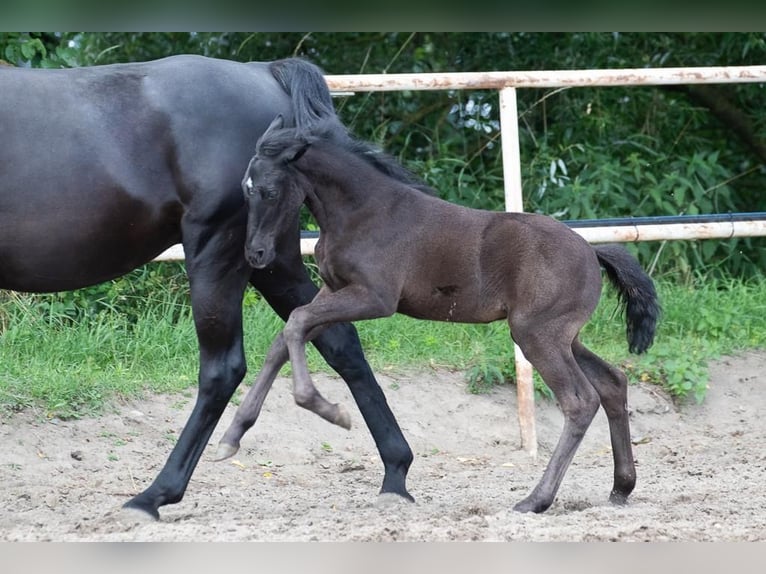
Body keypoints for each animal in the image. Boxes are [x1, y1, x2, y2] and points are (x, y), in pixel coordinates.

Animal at [0, 55, 420, 520]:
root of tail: (262, 72)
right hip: (271, 260)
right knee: (338, 339)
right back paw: (395, 473)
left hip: (219, 251)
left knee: (223, 369)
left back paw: (154, 495)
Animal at [217, 115, 661, 514]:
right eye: (245, 189)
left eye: (270, 191)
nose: (256, 254)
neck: (363, 212)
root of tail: (592, 251)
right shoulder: (335, 290)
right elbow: (287, 335)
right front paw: (232, 436)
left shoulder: (374, 298)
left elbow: (296, 323)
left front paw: (327, 409)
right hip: (563, 336)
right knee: (612, 382)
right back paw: (621, 488)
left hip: (538, 335)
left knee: (580, 400)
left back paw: (535, 500)